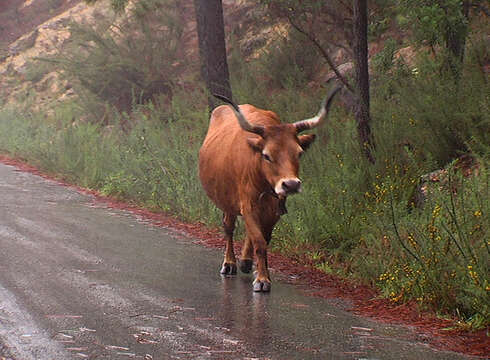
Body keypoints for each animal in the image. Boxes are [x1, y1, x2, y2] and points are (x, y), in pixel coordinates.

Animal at [197, 87, 338, 292]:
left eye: (299, 153)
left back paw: (246, 261)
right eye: (267, 155)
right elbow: (259, 241)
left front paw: (260, 270)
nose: (291, 184)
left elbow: (264, 238)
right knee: (229, 228)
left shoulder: (274, 209)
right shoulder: (247, 205)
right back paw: (230, 263)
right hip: (228, 200)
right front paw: (262, 279)